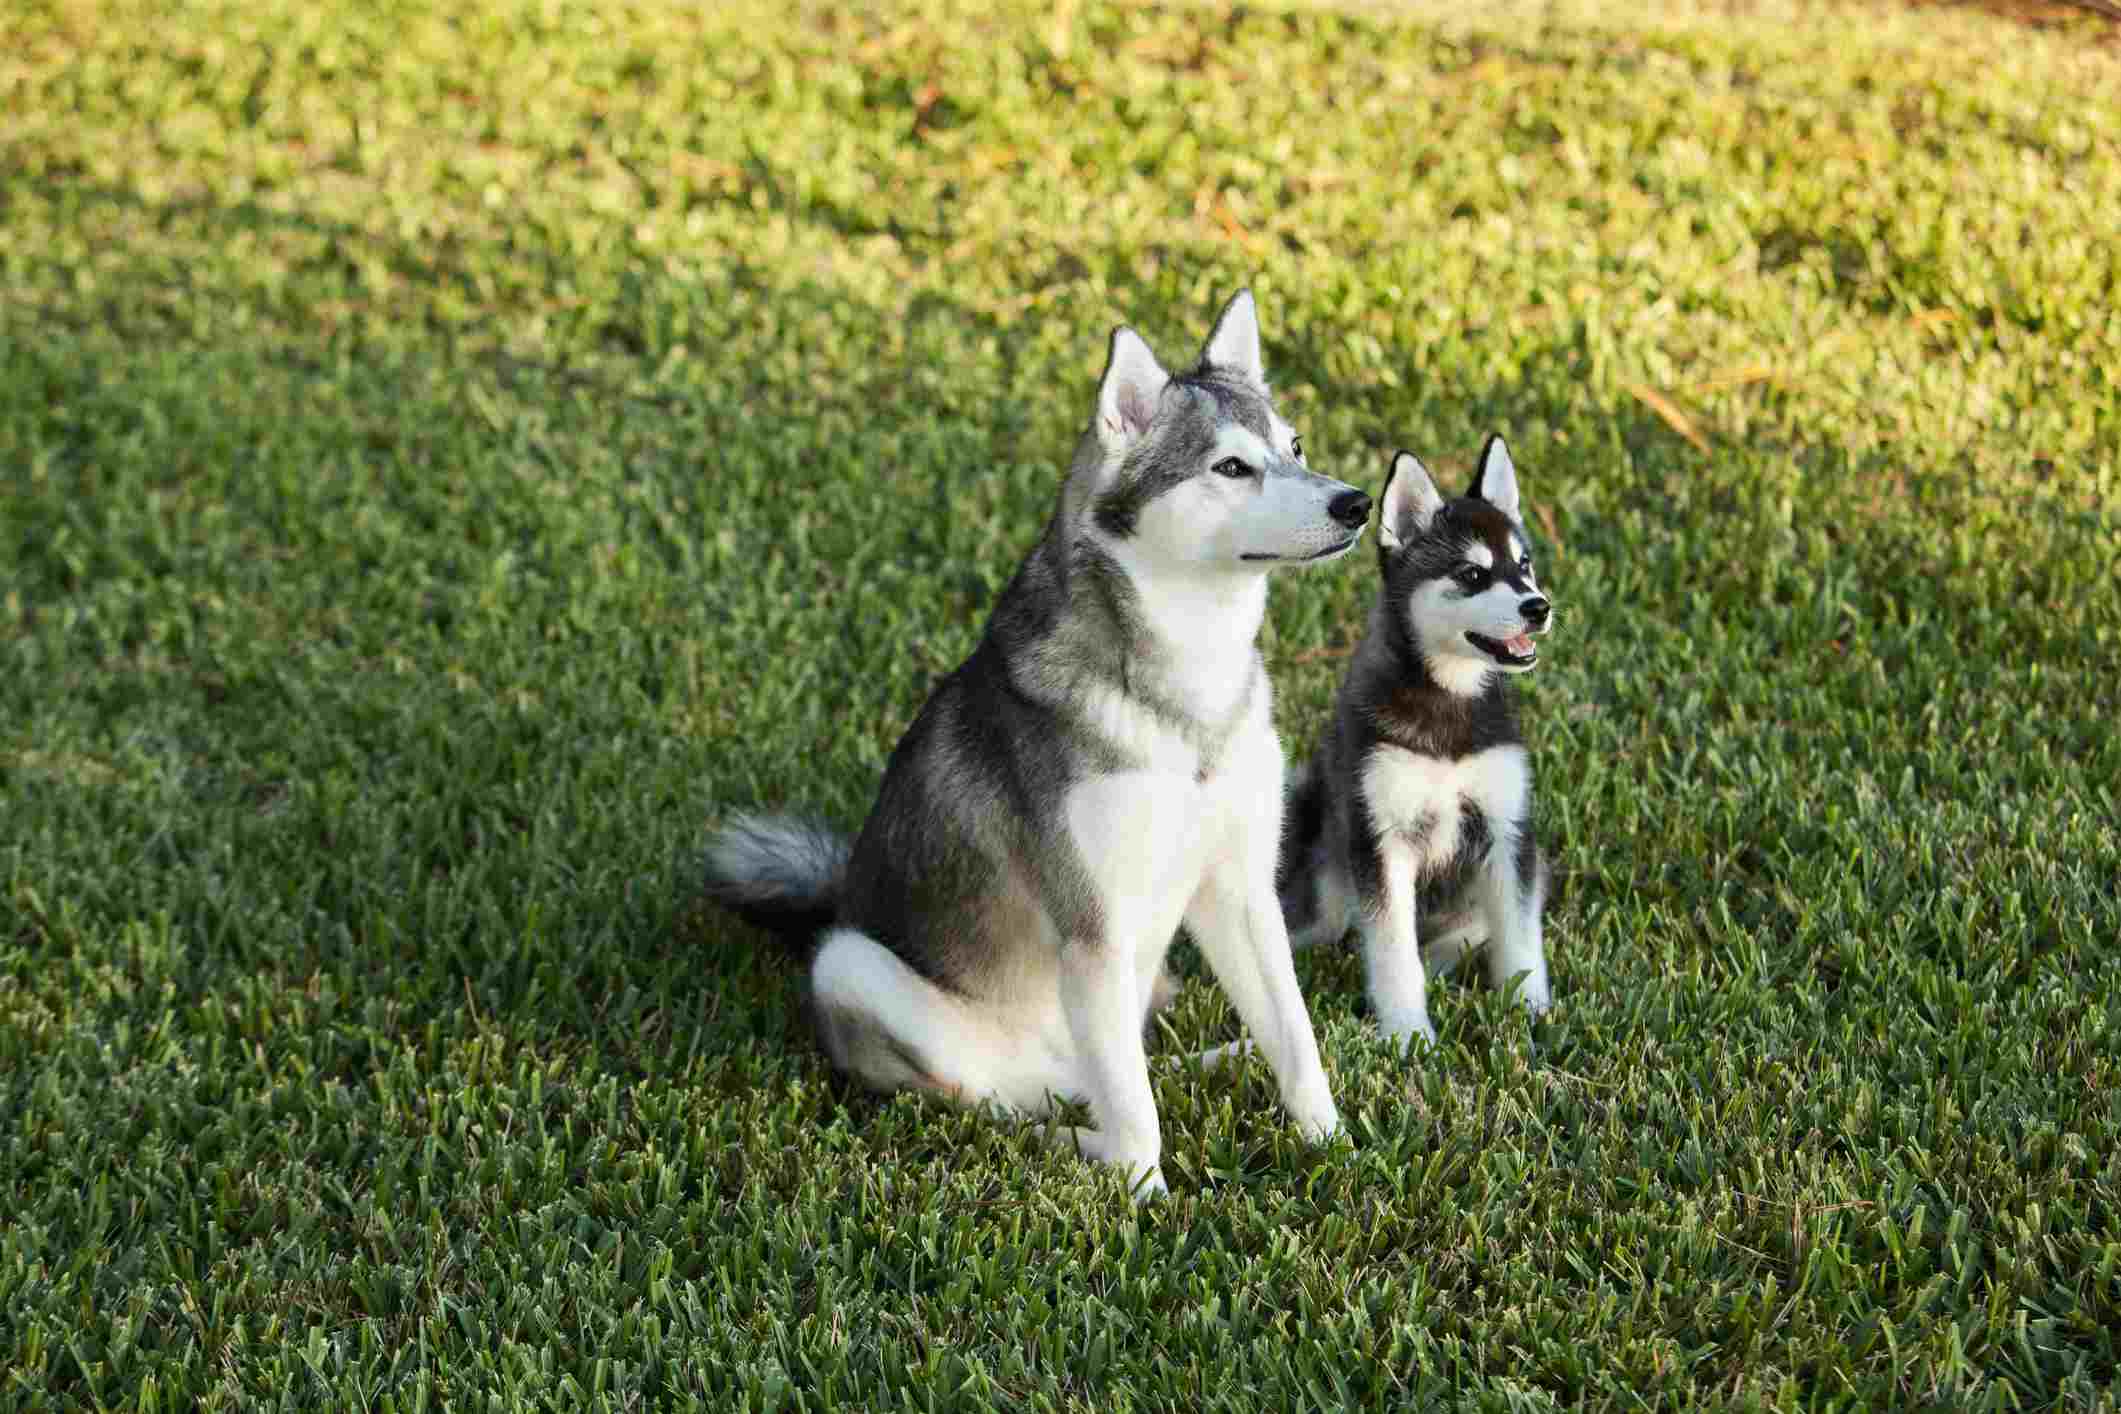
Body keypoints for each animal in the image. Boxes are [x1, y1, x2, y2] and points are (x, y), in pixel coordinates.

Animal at [704, 292, 1365, 1204]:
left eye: (1295, 448)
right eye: (1231, 467)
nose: (1355, 503)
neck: (1184, 687)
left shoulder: (1239, 891)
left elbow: (1294, 1041)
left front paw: (1327, 1145)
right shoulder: (1093, 928)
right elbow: (1135, 1119)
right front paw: (1146, 1203)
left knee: (1117, 1071)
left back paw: (1213, 1061)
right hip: (856, 967)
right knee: (1020, 1106)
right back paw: (1081, 1147)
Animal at [1272, 436, 1561, 1047]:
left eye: (1523, 565)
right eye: (1472, 574)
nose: (1539, 607)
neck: (1447, 700)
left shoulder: (1508, 831)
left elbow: (1519, 938)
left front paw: (1530, 1010)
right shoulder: (1383, 840)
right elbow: (1392, 950)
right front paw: (1407, 1034)